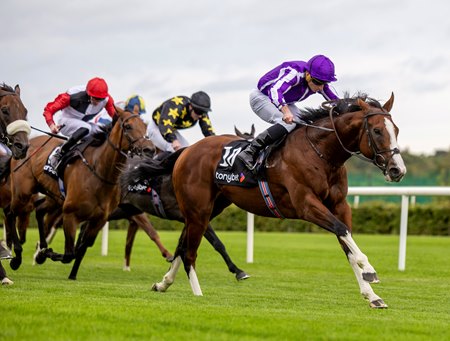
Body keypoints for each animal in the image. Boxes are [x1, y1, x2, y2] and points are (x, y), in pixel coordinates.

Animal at [8, 107, 153, 278]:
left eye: (145, 126)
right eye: (128, 126)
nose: (150, 149)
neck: (100, 172)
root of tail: (24, 146)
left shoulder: (98, 220)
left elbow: (80, 249)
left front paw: (46, 256)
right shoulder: (70, 215)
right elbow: (69, 254)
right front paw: (45, 253)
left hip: (54, 198)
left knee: (39, 210)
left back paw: (41, 247)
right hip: (22, 193)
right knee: (10, 214)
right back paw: (17, 257)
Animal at [149, 93, 406, 308]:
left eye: (396, 129)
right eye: (377, 131)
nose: (397, 170)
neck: (321, 153)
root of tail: (187, 150)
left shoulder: (340, 206)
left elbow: (347, 242)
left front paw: (372, 295)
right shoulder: (306, 205)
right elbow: (343, 233)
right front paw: (370, 270)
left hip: (209, 208)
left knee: (182, 245)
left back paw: (163, 283)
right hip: (199, 209)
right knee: (190, 252)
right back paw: (197, 294)